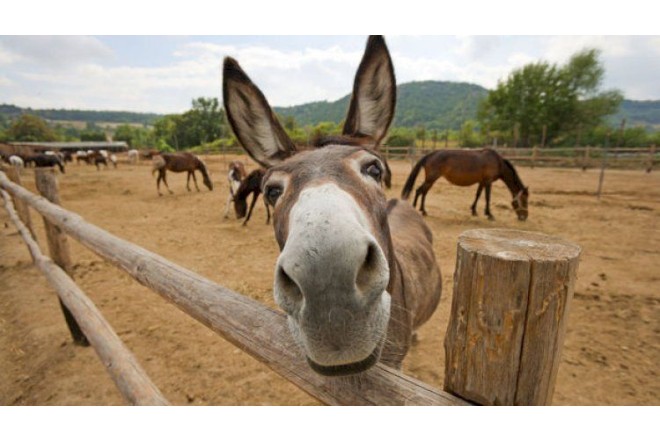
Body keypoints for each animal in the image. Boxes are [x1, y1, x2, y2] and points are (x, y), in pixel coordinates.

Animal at [400, 148, 528, 220]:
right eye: (525, 200)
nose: (524, 217)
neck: (497, 162)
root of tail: (430, 155)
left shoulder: (482, 182)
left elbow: (478, 195)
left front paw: (474, 211)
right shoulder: (488, 181)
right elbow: (487, 197)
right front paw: (489, 214)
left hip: (431, 180)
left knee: (423, 192)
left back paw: (423, 210)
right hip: (431, 179)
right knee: (419, 191)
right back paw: (416, 208)